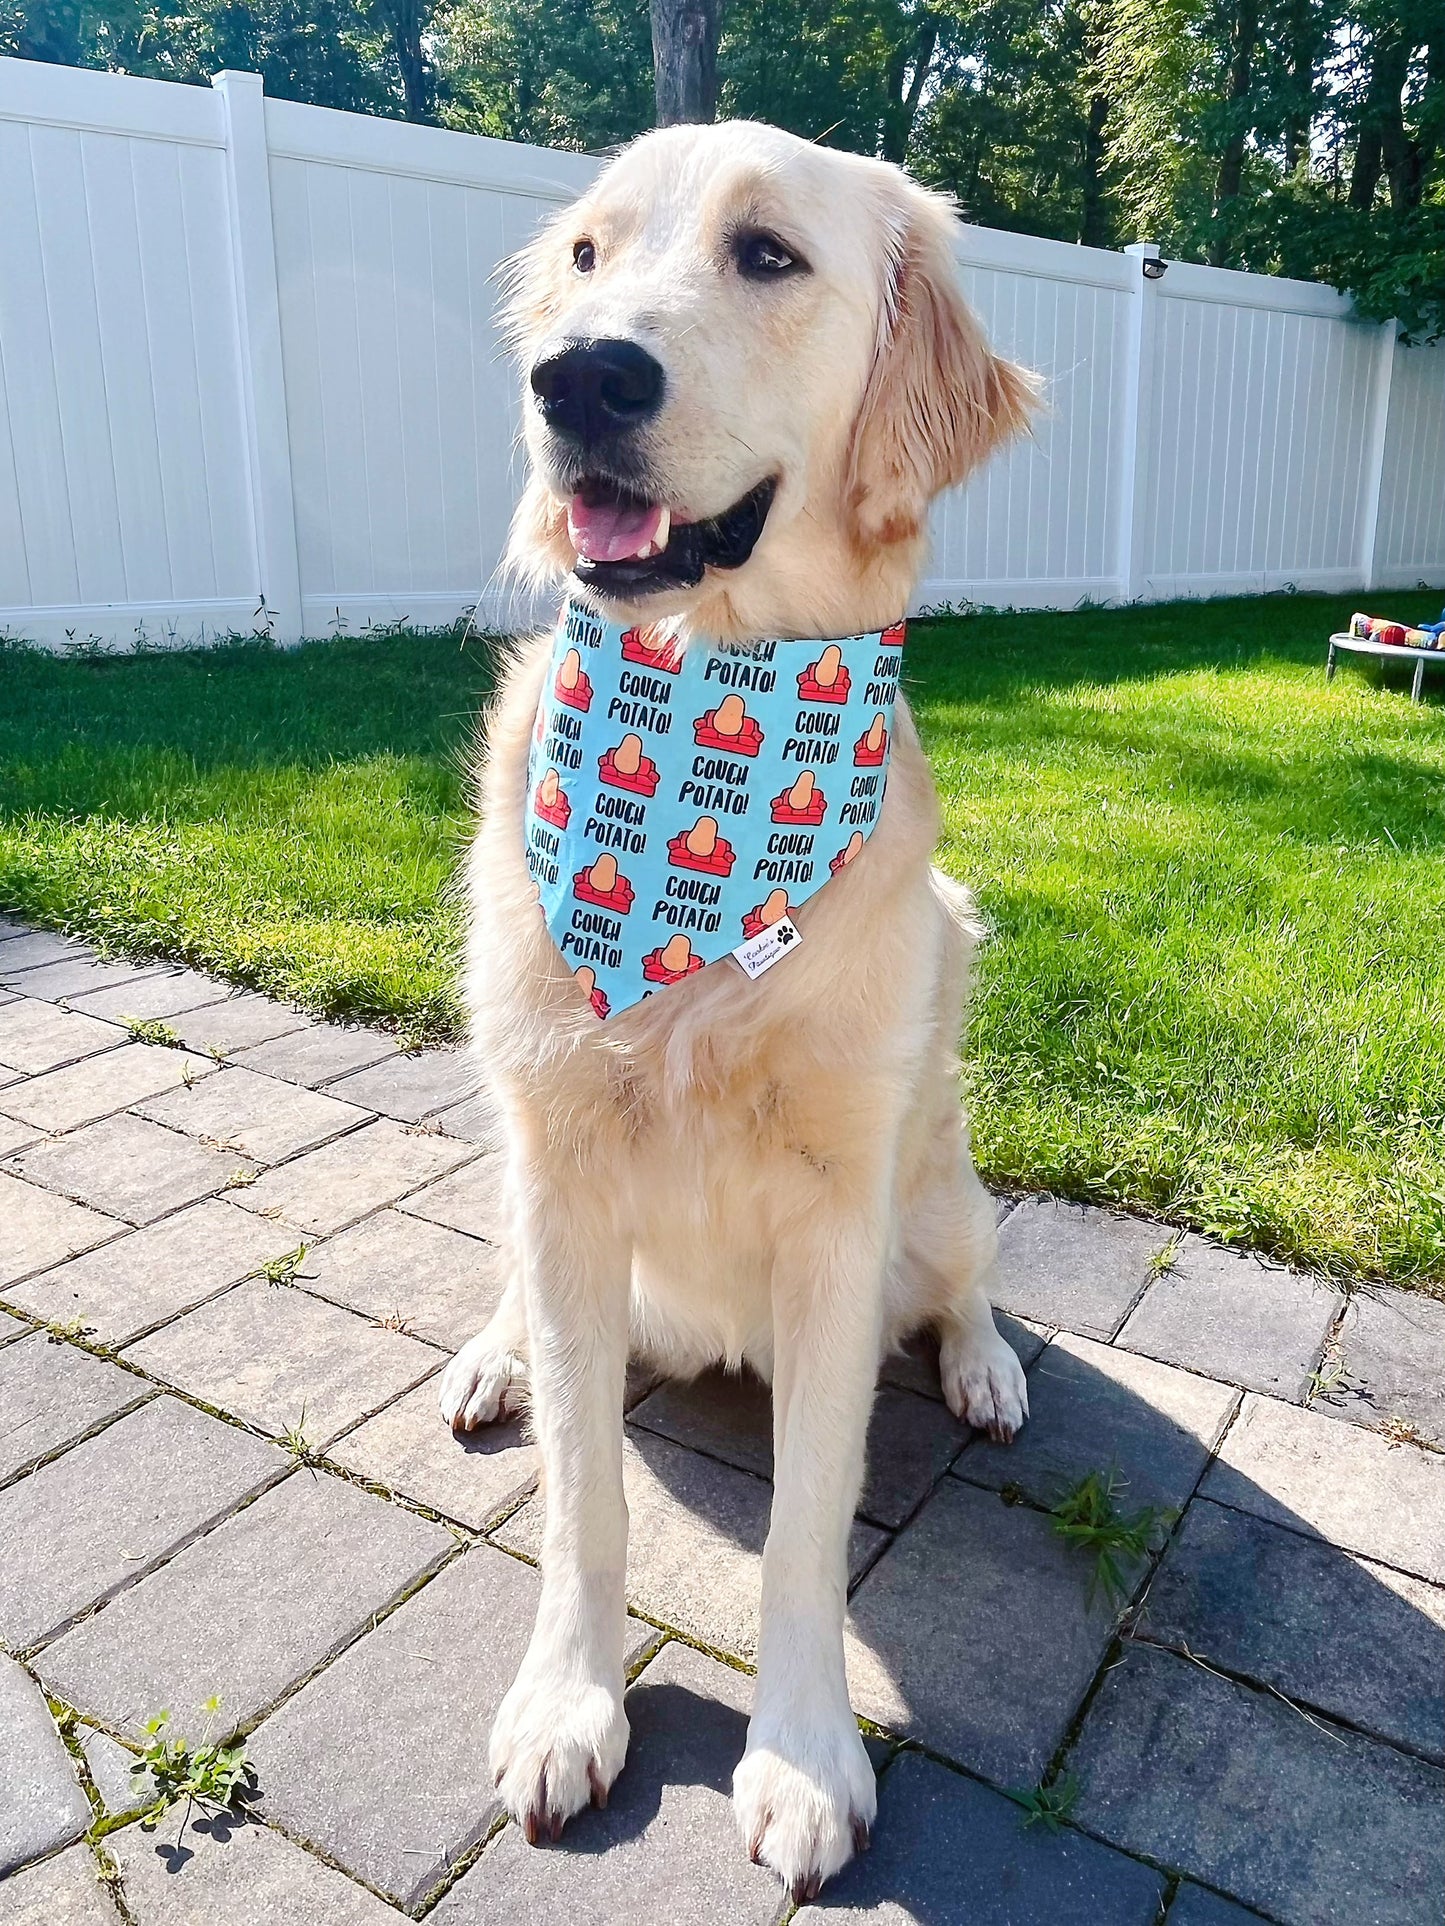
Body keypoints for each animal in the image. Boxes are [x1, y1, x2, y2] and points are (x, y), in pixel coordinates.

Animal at [441, 116, 1040, 1895]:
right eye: (584, 255)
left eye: (768, 255)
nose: (577, 376)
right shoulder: (561, 1166)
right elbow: (582, 1494)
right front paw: (567, 1701)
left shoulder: (838, 1222)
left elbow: (804, 1523)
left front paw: (801, 1755)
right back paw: (492, 1354)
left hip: (940, 1188)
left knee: (969, 1281)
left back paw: (988, 1369)